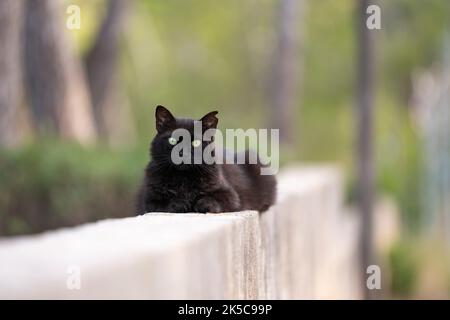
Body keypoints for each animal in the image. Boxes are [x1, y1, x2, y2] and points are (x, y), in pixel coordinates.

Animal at [135, 105, 276, 215]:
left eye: (196, 142)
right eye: (172, 140)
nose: (182, 153)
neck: (183, 178)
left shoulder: (231, 195)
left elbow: (214, 198)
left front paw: (202, 204)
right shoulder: (148, 200)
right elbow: (163, 203)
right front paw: (181, 203)